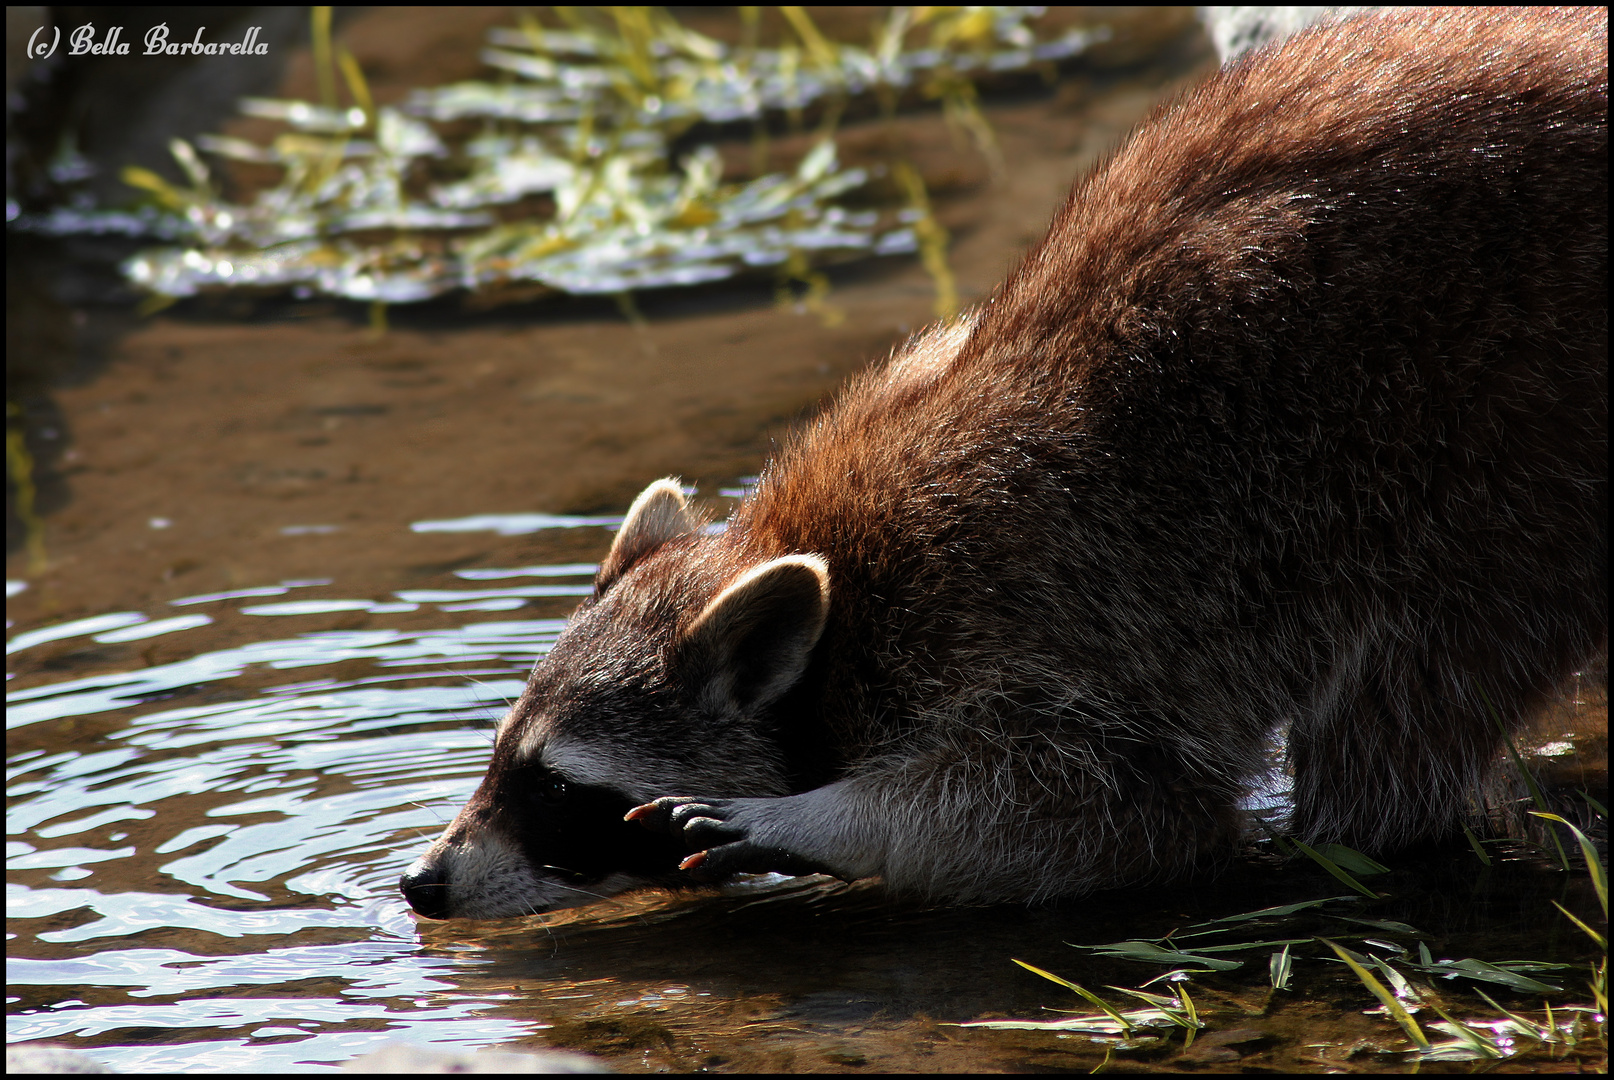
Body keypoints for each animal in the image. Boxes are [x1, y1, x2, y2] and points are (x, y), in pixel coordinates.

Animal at [400, 6, 1601, 916]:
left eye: (560, 792)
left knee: (1404, 704)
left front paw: (831, 822)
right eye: (499, 757)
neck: (836, 588)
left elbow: (1103, 813)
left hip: (1495, 466)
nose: (420, 886)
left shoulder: (1035, 612)